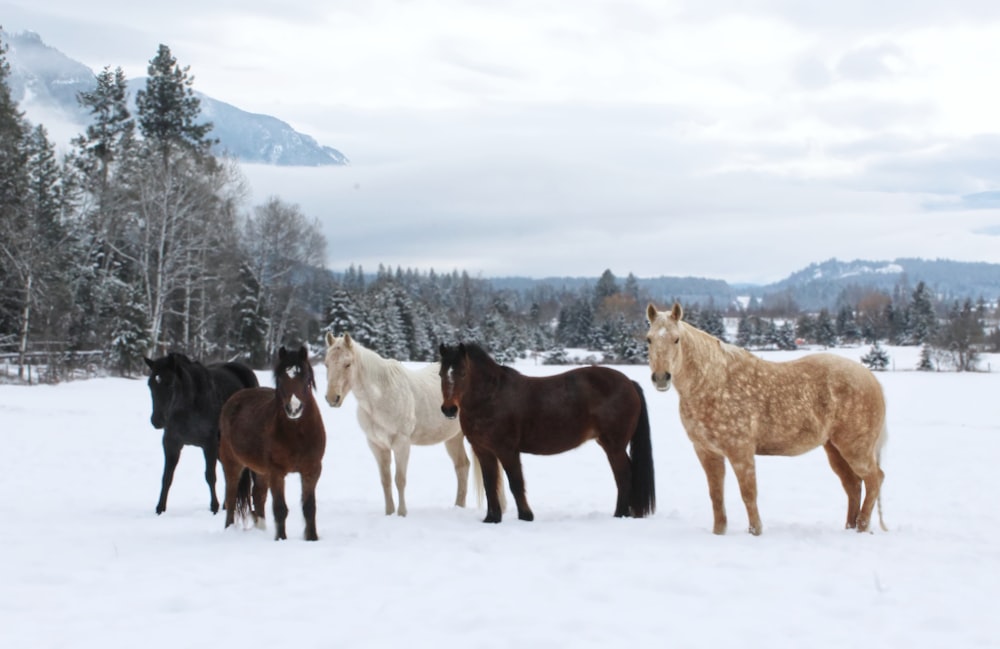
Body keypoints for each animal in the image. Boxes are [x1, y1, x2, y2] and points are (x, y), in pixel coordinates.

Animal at [146, 352, 262, 512]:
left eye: (170, 384)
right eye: (150, 384)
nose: (157, 420)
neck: (190, 404)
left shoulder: (209, 444)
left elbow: (210, 476)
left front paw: (214, 507)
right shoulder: (171, 443)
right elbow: (167, 477)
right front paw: (160, 508)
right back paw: (227, 505)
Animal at [220, 346, 326, 540]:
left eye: (306, 378)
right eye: (280, 379)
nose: (294, 409)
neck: (298, 434)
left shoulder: (312, 470)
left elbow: (309, 508)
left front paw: (312, 538)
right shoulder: (277, 472)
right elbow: (280, 509)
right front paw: (281, 538)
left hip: (261, 471)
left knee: (258, 495)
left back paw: (261, 529)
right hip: (232, 463)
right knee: (230, 498)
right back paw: (228, 529)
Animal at [324, 334, 492, 516]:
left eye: (347, 364)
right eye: (326, 364)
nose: (332, 398)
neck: (381, 395)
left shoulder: (401, 443)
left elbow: (400, 479)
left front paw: (402, 513)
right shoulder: (377, 445)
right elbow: (385, 480)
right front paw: (389, 513)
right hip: (453, 438)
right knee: (462, 466)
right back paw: (458, 506)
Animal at [438, 342, 656, 524]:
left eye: (463, 373)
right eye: (441, 374)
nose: (449, 409)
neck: (492, 397)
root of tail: (629, 383)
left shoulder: (508, 451)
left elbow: (516, 483)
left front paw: (526, 516)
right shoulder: (483, 451)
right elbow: (490, 484)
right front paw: (492, 519)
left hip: (614, 446)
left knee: (624, 476)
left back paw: (620, 515)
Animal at [648, 302, 892, 536]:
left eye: (676, 339)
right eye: (649, 339)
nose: (661, 378)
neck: (713, 383)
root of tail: (871, 378)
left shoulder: (741, 451)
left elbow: (748, 494)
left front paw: (755, 532)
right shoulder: (707, 452)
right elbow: (716, 495)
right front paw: (719, 532)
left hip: (855, 448)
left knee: (875, 480)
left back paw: (861, 527)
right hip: (834, 449)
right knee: (853, 486)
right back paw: (851, 527)